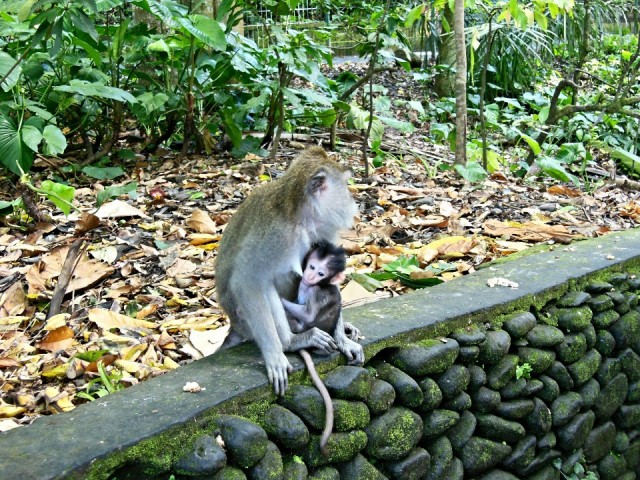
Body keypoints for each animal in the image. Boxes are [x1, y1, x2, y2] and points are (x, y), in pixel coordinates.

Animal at [216, 147, 364, 396]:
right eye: (345, 184)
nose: (352, 201)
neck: (299, 214)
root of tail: (234, 325)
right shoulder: (276, 236)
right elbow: (247, 281)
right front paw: (275, 355)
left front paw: (343, 339)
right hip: (243, 318)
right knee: (264, 286)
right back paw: (291, 342)